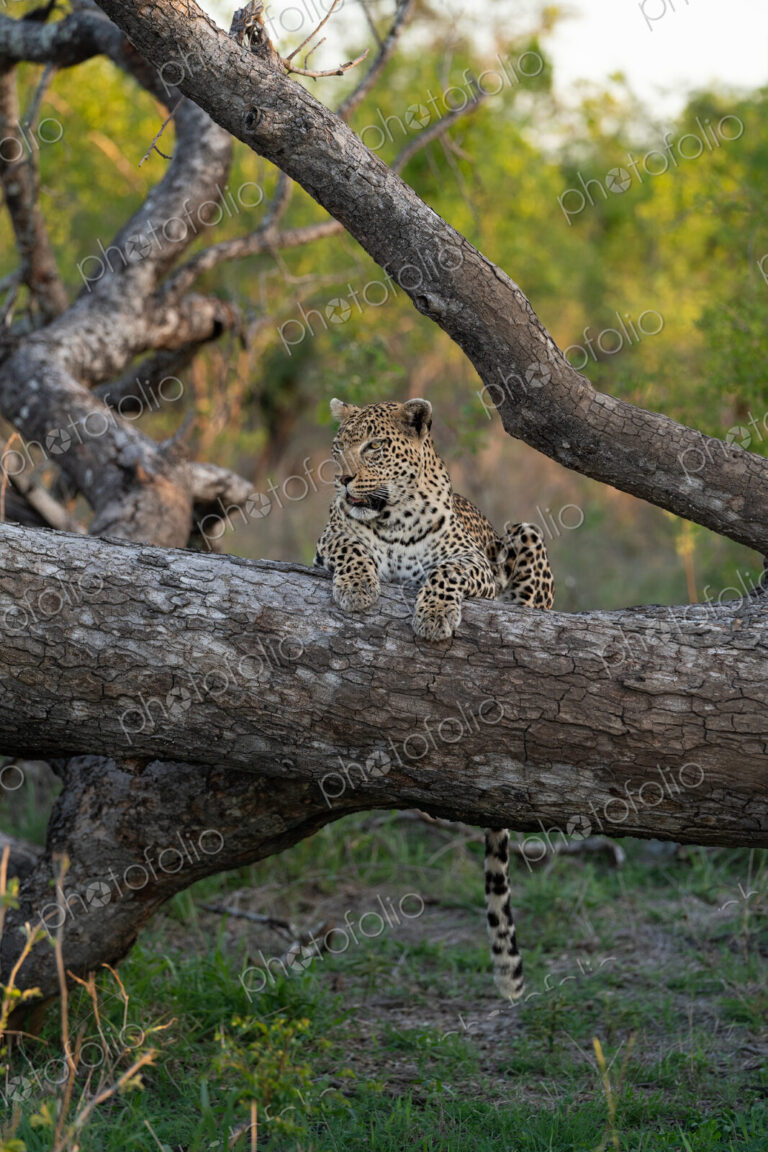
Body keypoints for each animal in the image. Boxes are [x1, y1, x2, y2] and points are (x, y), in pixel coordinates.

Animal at [314, 397, 555, 999]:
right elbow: (350, 544)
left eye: (372, 447)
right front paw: (358, 589)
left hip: (524, 533)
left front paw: (434, 616)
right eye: (338, 447)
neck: (393, 521)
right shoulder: (327, 543)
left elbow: (446, 572)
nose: (343, 478)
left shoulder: (475, 565)